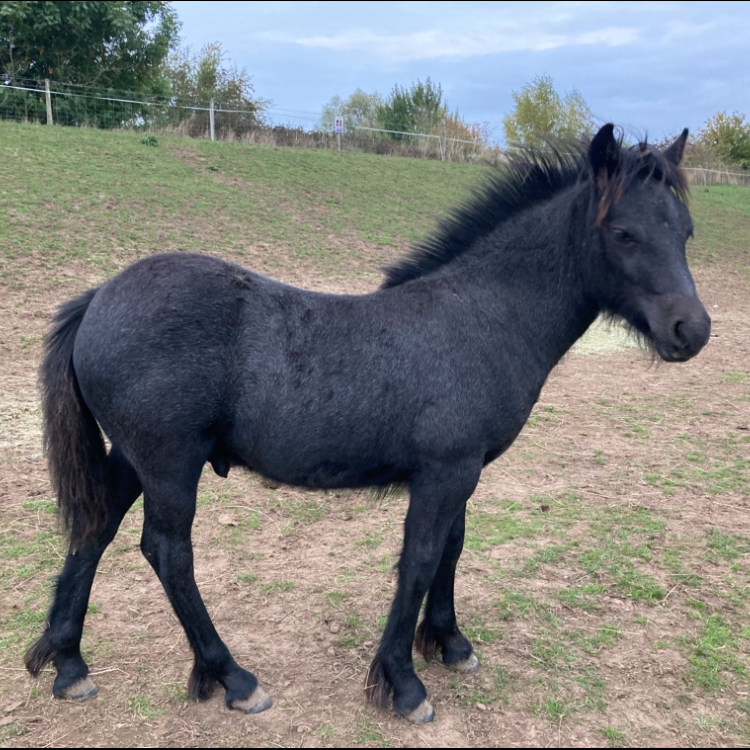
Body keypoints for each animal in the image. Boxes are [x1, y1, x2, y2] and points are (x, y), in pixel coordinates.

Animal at [25, 124, 711, 723]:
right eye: (623, 233)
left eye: (685, 231)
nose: (692, 330)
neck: (481, 315)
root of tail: (97, 297)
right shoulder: (444, 472)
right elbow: (421, 558)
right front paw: (403, 684)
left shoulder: (461, 472)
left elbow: (452, 548)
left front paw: (449, 644)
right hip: (169, 462)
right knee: (168, 553)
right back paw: (232, 678)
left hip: (132, 457)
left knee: (95, 530)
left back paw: (68, 664)